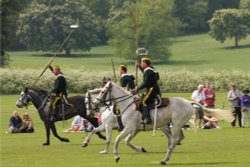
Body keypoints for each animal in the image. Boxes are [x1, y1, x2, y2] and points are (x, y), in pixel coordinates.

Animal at [93, 81, 233, 165]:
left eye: (103, 91)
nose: (95, 104)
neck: (128, 105)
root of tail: (188, 102)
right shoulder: (134, 129)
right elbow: (126, 141)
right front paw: (140, 149)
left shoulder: (129, 128)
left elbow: (117, 139)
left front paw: (116, 156)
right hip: (175, 125)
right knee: (177, 138)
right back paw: (167, 155)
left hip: (176, 125)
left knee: (175, 139)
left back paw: (165, 159)